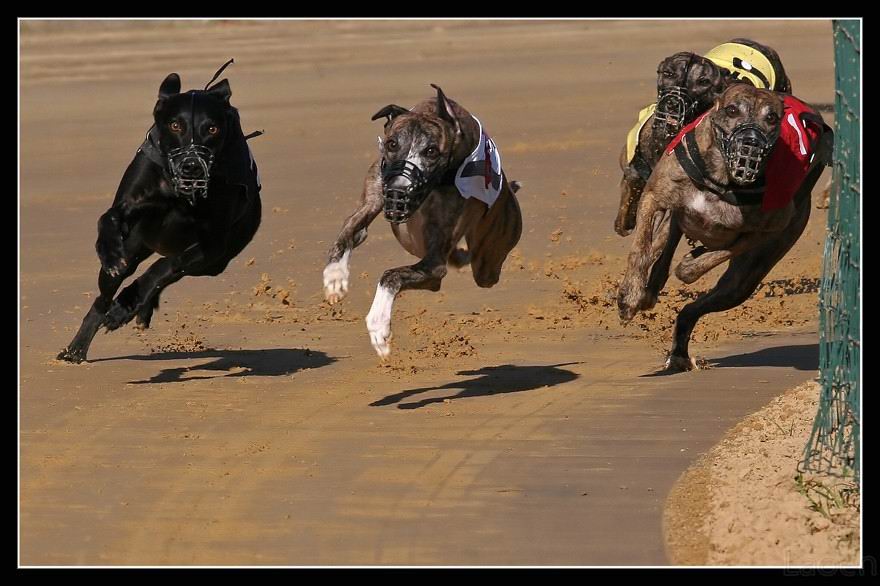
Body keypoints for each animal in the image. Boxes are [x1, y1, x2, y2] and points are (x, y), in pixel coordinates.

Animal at [57, 62, 262, 363]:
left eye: (212, 129)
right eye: (175, 125)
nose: (192, 166)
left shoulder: (212, 246)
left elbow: (166, 266)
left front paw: (128, 304)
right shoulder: (132, 205)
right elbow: (109, 217)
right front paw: (110, 252)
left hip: (214, 265)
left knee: (169, 271)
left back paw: (133, 308)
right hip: (136, 247)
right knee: (102, 298)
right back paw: (77, 348)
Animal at [322, 84, 522, 359]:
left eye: (431, 151)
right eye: (392, 143)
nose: (398, 191)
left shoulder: (434, 266)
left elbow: (390, 275)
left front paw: (379, 326)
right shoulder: (373, 199)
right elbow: (348, 232)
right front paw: (335, 277)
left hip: (488, 262)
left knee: (482, 268)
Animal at [616, 83, 832, 372]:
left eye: (771, 118)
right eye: (731, 110)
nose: (751, 141)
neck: (721, 180)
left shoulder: (768, 229)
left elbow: (712, 256)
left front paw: (690, 263)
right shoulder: (655, 198)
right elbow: (640, 249)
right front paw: (629, 297)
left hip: (743, 282)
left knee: (691, 309)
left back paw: (679, 352)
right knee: (662, 247)